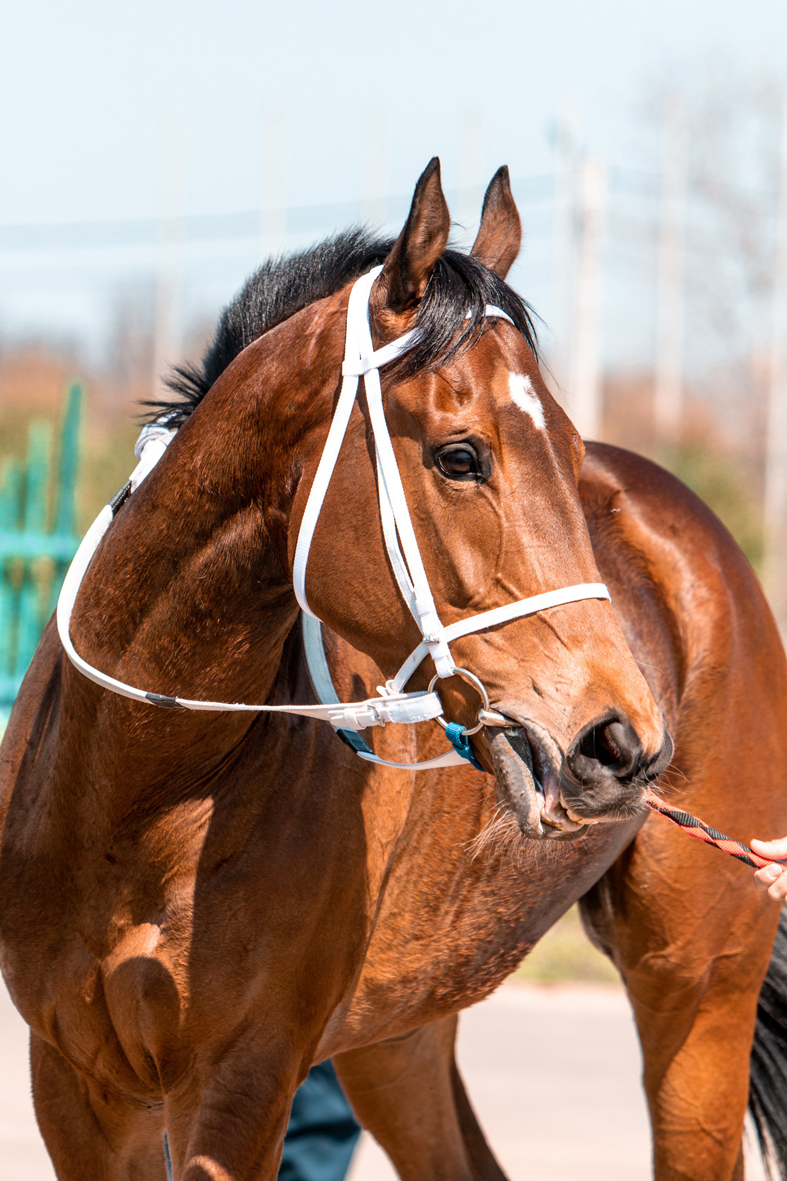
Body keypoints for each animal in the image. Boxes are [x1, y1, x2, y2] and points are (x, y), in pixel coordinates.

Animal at [0, 159, 779, 1181]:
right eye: (460, 455)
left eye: (572, 455)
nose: (620, 743)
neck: (138, 788)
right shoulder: (78, 1083)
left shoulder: (241, 1083)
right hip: (398, 1034)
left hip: (697, 989)